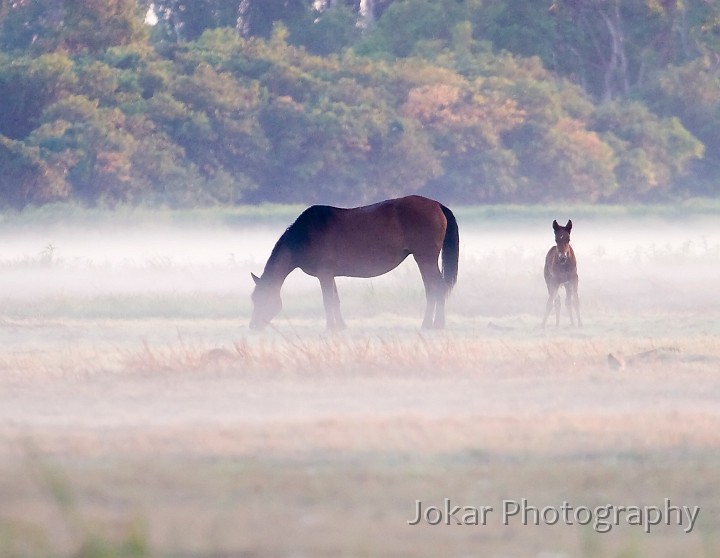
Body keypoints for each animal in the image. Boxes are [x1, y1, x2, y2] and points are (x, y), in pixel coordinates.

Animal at [250, 196, 458, 330]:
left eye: (261, 298)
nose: (253, 326)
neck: (303, 236)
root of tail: (437, 205)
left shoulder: (324, 274)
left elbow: (328, 300)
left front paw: (331, 328)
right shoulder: (329, 274)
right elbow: (335, 300)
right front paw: (341, 327)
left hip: (425, 259)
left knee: (435, 288)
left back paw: (431, 325)